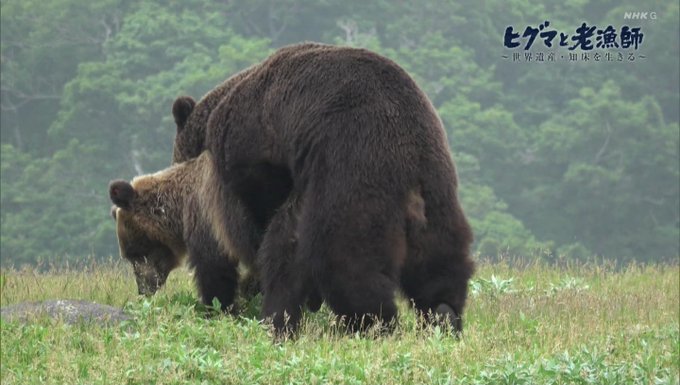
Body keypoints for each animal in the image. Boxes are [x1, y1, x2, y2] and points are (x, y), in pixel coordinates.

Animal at [167, 42, 472, 332]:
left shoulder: (252, 141)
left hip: (354, 181)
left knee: (346, 266)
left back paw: (368, 322)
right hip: (435, 191)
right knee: (439, 264)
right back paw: (444, 314)